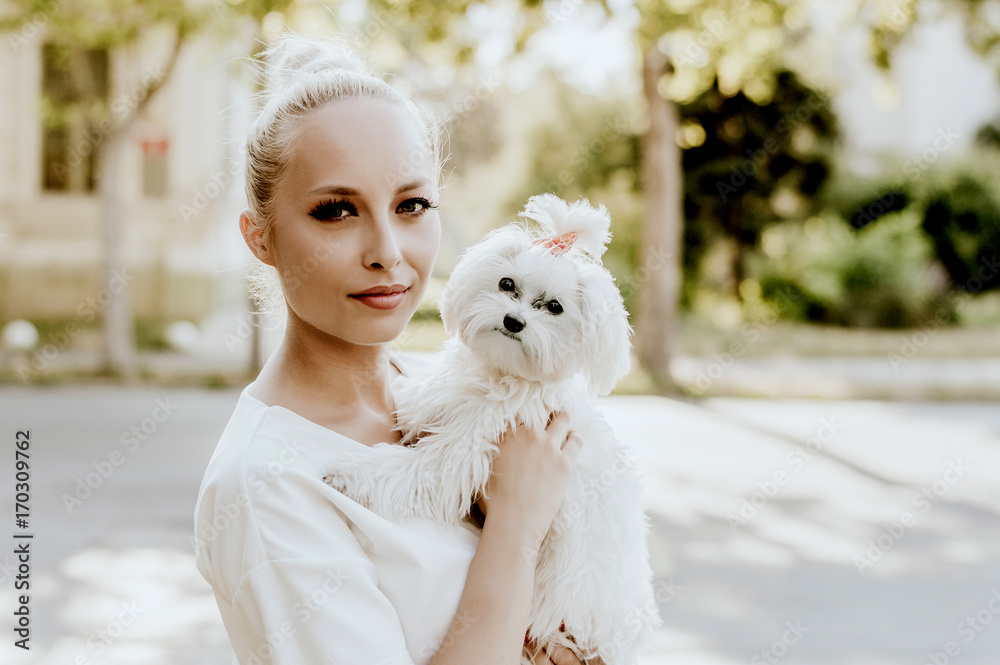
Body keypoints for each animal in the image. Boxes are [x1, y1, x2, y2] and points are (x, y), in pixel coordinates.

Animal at [324, 193, 660, 664]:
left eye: (554, 307)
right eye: (506, 284)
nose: (514, 321)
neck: (503, 374)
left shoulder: (462, 452)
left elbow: (407, 470)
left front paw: (347, 472)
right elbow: (423, 401)